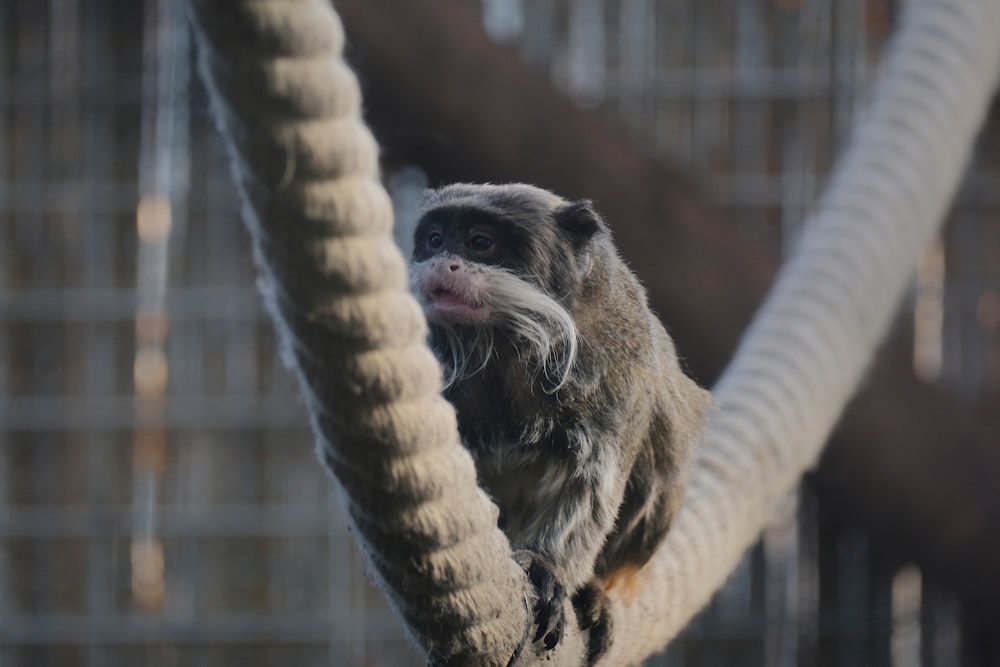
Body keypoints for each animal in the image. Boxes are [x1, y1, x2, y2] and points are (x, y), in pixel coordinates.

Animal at [406, 181, 712, 664]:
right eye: (435, 240)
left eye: (479, 243)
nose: (442, 262)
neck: (508, 341)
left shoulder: (620, 365)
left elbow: (591, 488)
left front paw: (547, 569)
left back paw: (593, 593)